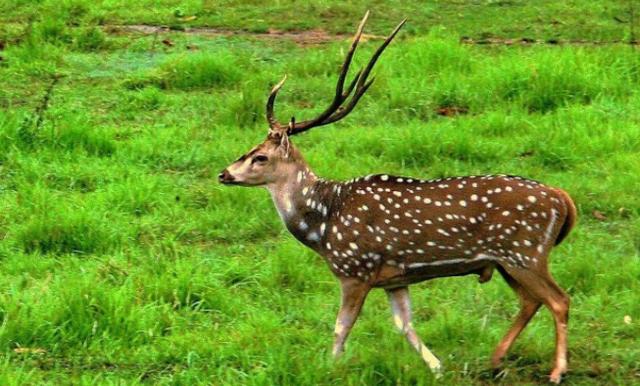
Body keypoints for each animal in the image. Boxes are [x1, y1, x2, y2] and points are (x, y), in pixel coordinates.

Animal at [218, 11, 576, 382]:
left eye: (260, 156)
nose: (224, 173)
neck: (323, 226)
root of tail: (563, 199)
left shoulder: (355, 270)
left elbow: (341, 327)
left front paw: (330, 367)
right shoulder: (395, 278)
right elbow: (404, 324)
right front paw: (437, 367)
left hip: (526, 252)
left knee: (559, 300)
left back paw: (556, 370)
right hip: (507, 261)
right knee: (531, 301)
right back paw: (495, 359)